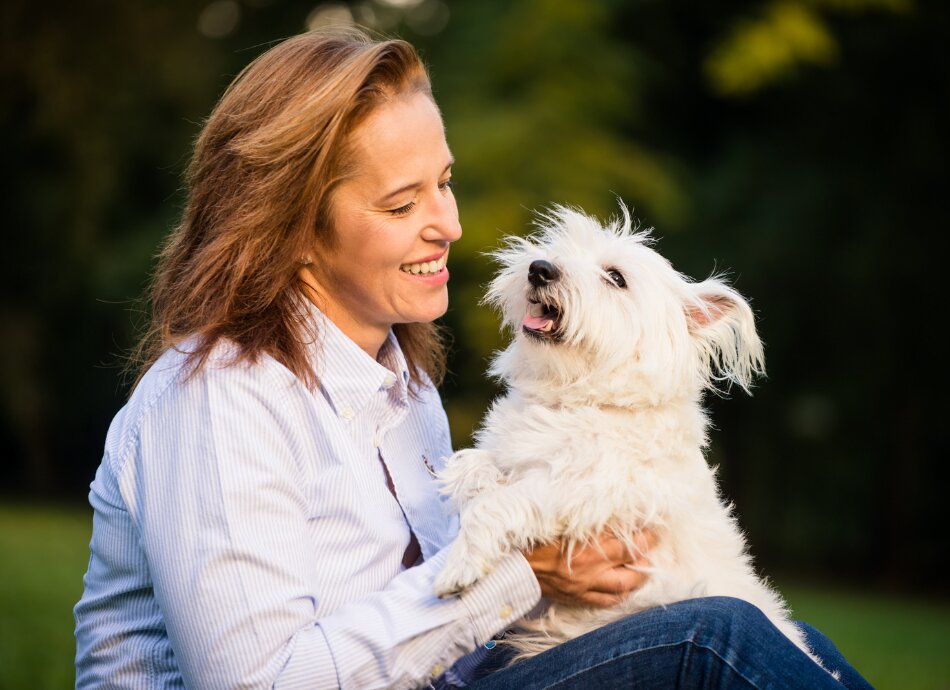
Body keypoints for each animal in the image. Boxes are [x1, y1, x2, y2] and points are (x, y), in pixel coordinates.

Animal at [436, 203, 828, 668]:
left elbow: (498, 504)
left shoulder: (591, 490)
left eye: (616, 277)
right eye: (557, 248)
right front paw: (471, 487)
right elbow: (473, 465)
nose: (540, 269)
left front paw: (459, 565)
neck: (579, 399)